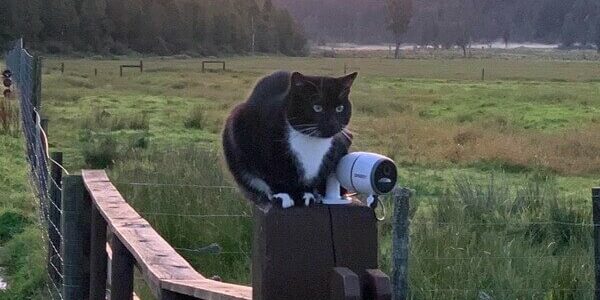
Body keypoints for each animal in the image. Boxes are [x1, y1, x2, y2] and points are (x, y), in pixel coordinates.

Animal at [224, 71, 356, 207]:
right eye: (317, 107)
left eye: (339, 108)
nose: (332, 124)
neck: (310, 141)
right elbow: (272, 174)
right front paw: (283, 195)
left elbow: (310, 180)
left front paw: (307, 194)